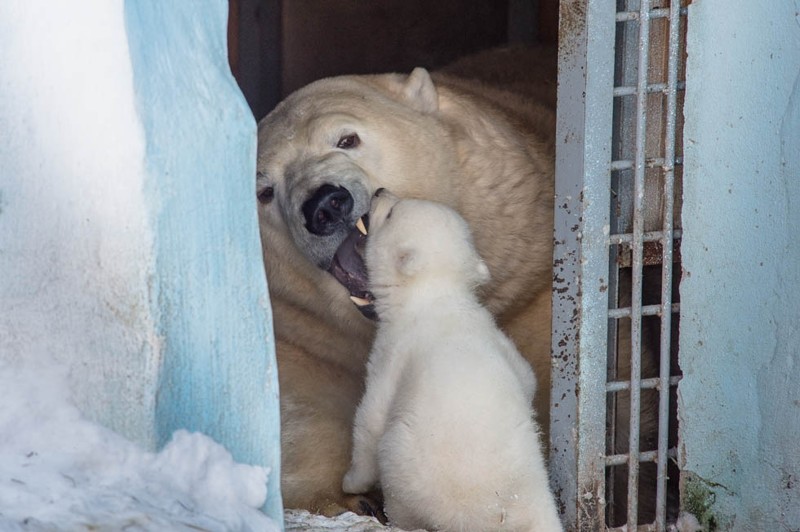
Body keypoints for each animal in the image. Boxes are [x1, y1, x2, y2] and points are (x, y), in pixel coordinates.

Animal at [256, 51, 556, 516]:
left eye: (347, 139)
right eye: (265, 191)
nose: (325, 205)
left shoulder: (526, 280)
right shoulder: (305, 333)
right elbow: (302, 404)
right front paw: (344, 498)